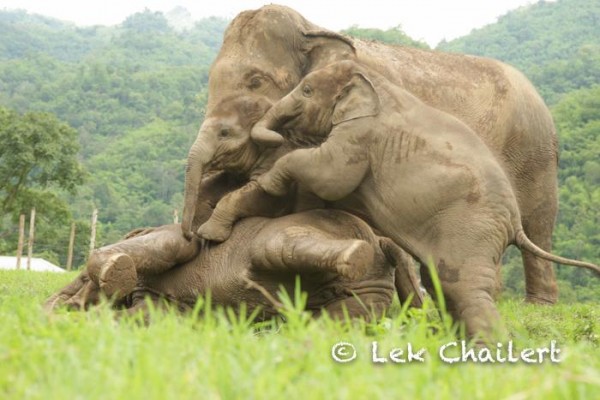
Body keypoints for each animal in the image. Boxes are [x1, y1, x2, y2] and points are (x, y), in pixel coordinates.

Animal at [45, 211, 422, 320]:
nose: (51, 304)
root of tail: (380, 241)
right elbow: (153, 313)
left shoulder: (174, 232)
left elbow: (175, 244)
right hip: (368, 294)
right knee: (343, 318)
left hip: (285, 232)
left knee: (280, 246)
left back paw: (353, 255)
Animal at [182, 3, 556, 304]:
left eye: (256, 81)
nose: (190, 236)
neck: (314, 28)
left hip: (534, 152)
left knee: (538, 221)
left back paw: (536, 308)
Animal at [198, 61, 600, 340]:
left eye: (308, 90)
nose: (270, 134)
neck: (374, 80)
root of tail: (514, 224)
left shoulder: (360, 134)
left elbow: (329, 175)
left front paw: (256, 192)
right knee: (442, 284)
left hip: (472, 228)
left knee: (463, 288)